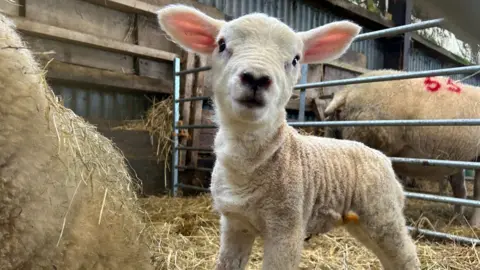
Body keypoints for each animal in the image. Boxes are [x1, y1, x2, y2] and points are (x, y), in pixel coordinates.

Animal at [157, 4, 420, 270]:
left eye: (295, 59)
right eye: (221, 44)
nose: (256, 78)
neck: (250, 163)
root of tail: (381, 157)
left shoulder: (287, 227)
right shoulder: (234, 223)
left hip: (382, 213)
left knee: (406, 255)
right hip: (361, 220)